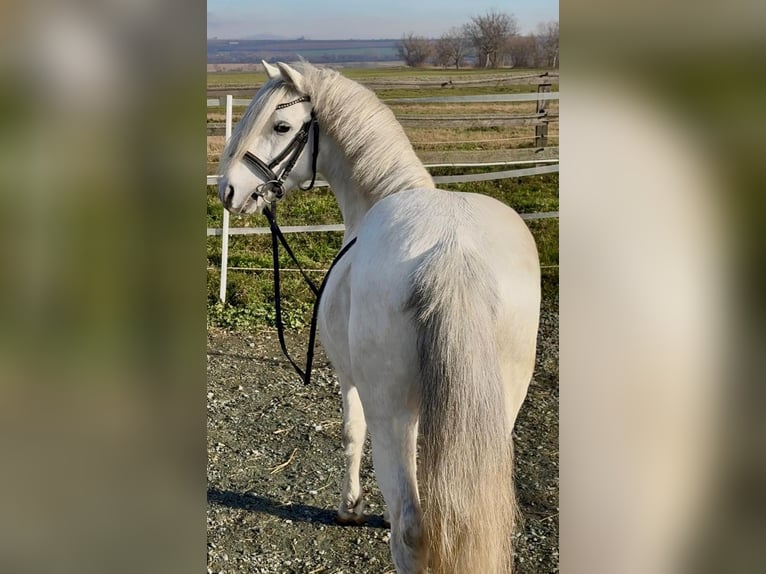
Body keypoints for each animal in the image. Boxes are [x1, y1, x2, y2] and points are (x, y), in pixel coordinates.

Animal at [217, 61, 541, 574]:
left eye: (281, 126)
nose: (228, 189)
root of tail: (452, 251)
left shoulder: (350, 380)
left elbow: (352, 434)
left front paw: (350, 507)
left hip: (392, 410)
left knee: (410, 526)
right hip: (498, 408)